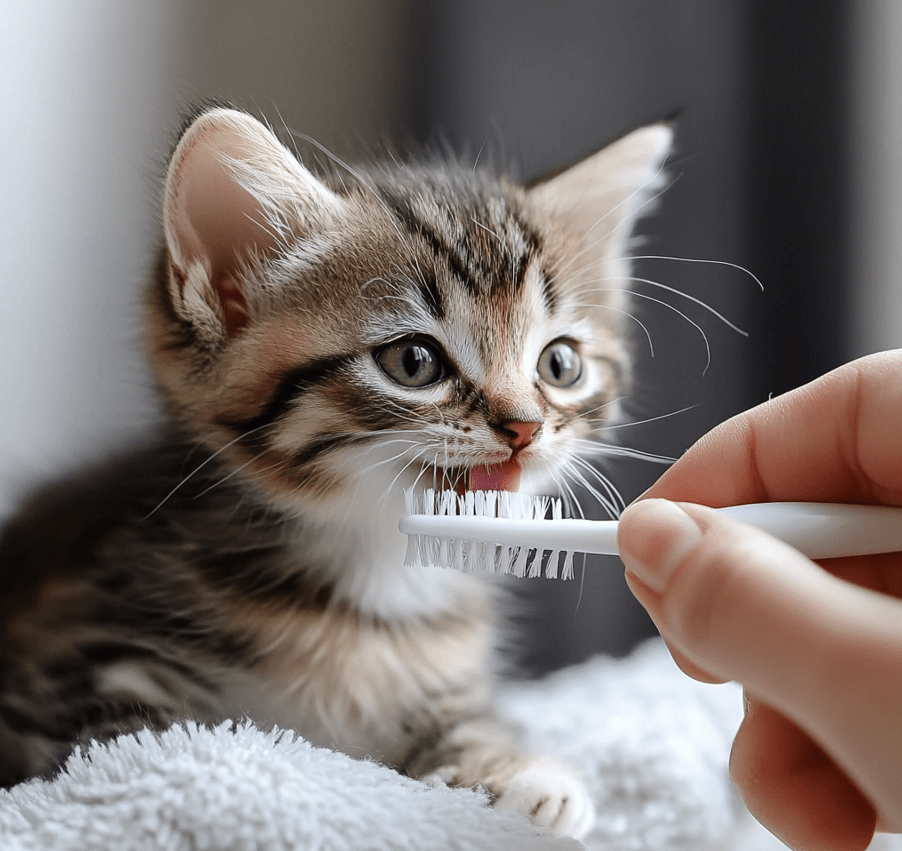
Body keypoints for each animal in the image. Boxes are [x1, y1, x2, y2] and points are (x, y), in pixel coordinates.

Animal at [0, 106, 672, 840]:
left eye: (560, 364)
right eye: (414, 361)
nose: (524, 428)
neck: (373, 583)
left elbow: (467, 720)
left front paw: (507, 770)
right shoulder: (70, 666)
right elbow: (126, 743)